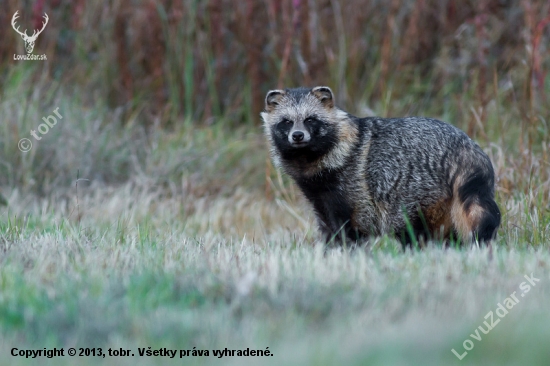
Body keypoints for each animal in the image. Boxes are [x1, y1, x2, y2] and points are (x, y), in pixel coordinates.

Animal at [260, 86, 502, 246]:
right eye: (286, 122)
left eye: (310, 119)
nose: (297, 136)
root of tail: (465, 149)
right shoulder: (319, 197)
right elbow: (328, 227)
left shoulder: (352, 187)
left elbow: (350, 228)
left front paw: (347, 250)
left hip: (414, 189)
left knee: (410, 228)